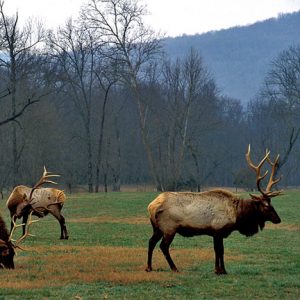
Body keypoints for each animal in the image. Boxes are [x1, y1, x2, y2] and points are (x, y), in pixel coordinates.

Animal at [146, 145, 282, 274]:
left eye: (272, 204)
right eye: (266, 206)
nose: (278, 219)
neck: (237, 215)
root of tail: (152, 206)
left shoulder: (217, 233)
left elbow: (220, 250)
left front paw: (223, 270)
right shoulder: (218, 230)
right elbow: (218, 250)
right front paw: (218, 270)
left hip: (157, 228)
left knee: (151, 242)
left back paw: (149, 267)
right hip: (169, 228)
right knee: (163, 246)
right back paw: (174, 268)